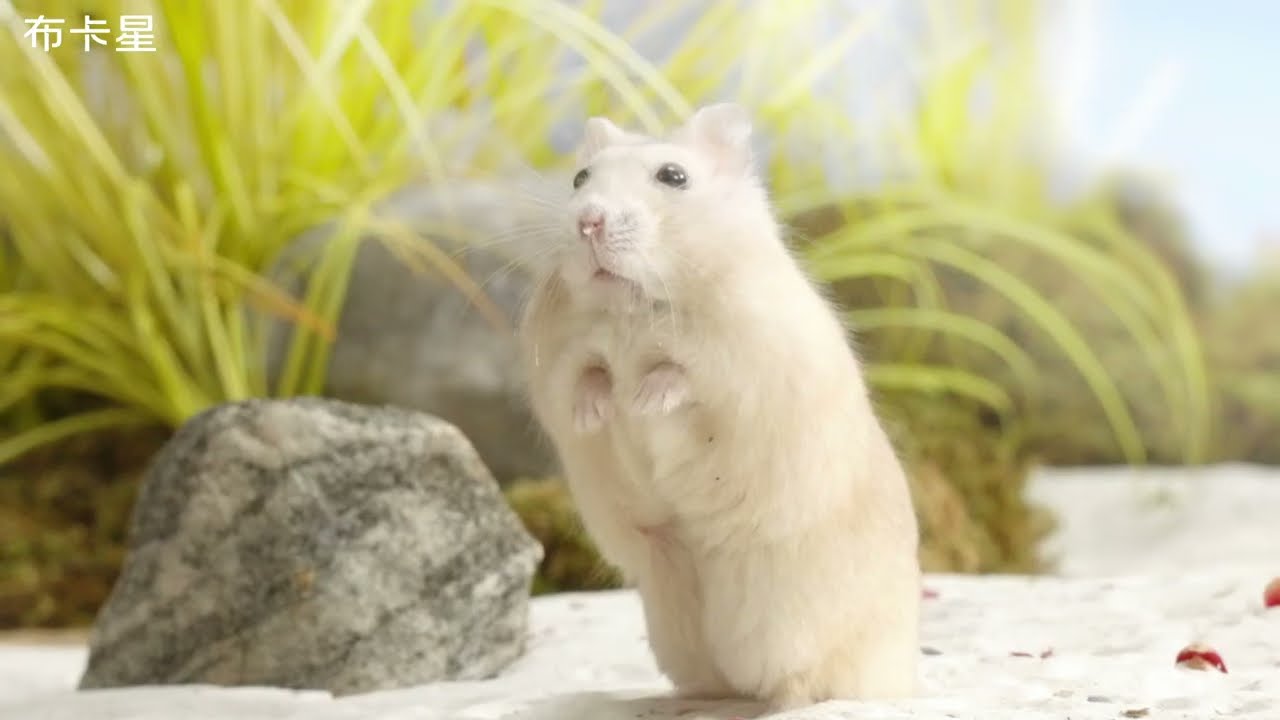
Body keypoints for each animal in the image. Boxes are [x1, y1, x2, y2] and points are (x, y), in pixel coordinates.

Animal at [517, 103, 921, 710]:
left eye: (673, 176)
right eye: (579, 180)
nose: (588, 221)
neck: (633, 307)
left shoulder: (737, 360)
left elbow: (681, 377)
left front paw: (641, 399)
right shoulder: (560, 363)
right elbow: (586, 379)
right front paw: (601, 411)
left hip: (796, 625)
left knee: (806, 683)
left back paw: (774, 706)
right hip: (674, 624)